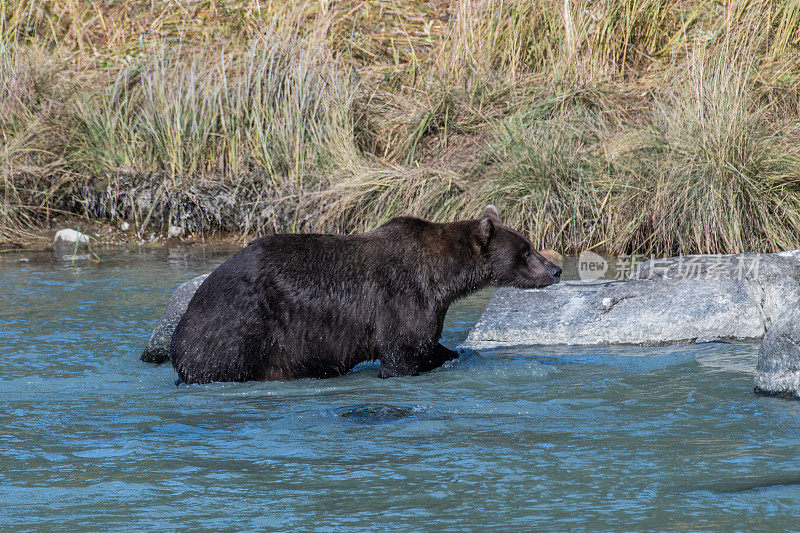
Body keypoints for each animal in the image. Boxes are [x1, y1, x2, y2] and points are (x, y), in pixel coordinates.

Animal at [169, 205, 560, 382]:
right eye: (526, 250)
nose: (555, 270)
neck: (441, 276)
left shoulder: (430, 305)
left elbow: (430, 345)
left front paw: (453, 354)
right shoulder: (402, 297)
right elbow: (403, 349)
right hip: (239, 325)